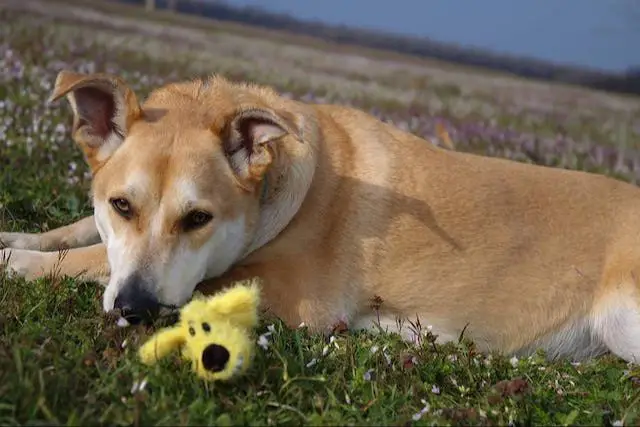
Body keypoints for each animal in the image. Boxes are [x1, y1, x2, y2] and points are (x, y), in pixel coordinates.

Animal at [1, 70, 640, 364]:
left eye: (198, 218)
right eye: (122, 205)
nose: (135, 309)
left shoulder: (285, 293)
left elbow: (84, 260)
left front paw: (15, 259)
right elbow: (80, 235)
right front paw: (19, 233)